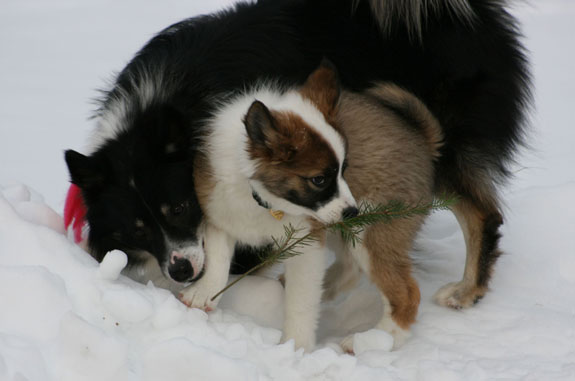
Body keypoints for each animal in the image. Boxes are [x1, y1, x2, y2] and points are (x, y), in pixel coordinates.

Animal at [65, 0, 532, 350]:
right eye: (138, 229)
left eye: (179, 208)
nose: (180, 272)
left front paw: (294, 346)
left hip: (419, 180)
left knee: (471, 225)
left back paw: (427, 311)